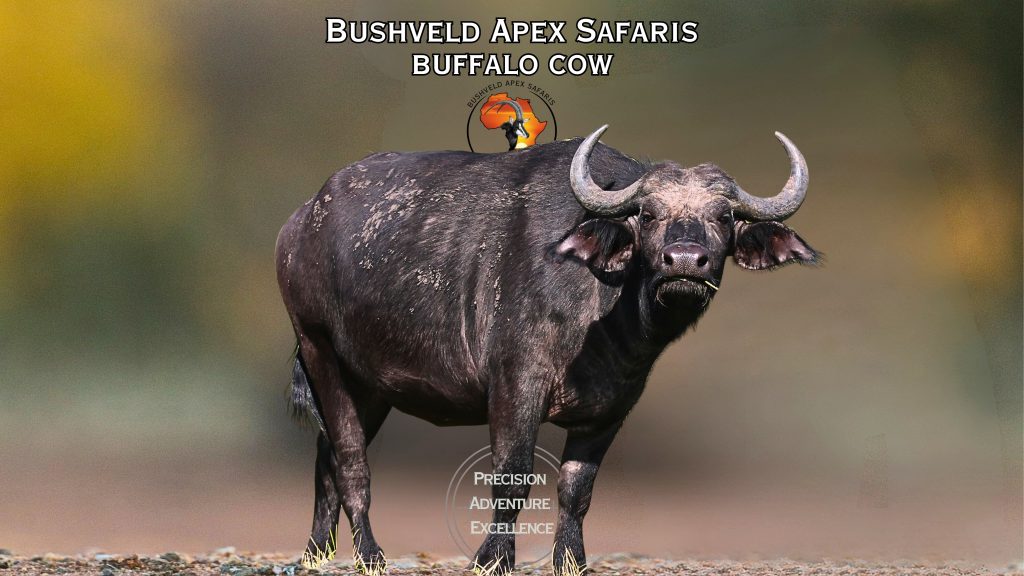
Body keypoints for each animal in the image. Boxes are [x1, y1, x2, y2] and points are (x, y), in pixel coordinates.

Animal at [275, 126, 819, 575]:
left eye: (724, 216)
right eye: (647, 214)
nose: (684, 260)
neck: (601, 313)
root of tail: (300, 222)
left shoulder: (612, 407)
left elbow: (577, 489)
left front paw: (571, 560)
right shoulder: (516, 387)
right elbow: (512, 478)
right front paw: (493, 559)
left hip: (371, 386)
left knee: (326, 456)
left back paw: (316, 552)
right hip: (320, 351)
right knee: (349, 461)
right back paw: (369, 555)